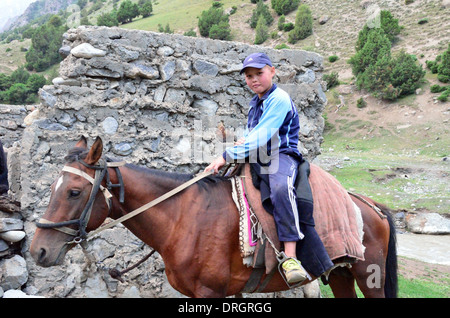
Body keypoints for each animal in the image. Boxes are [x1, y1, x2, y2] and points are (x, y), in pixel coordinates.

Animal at [29, 137, 398, 298]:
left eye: (73, 192)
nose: (38, 251)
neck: (183, 217)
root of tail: (370, 205)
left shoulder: (210, 293)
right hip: (340, 275)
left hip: (369, 276)